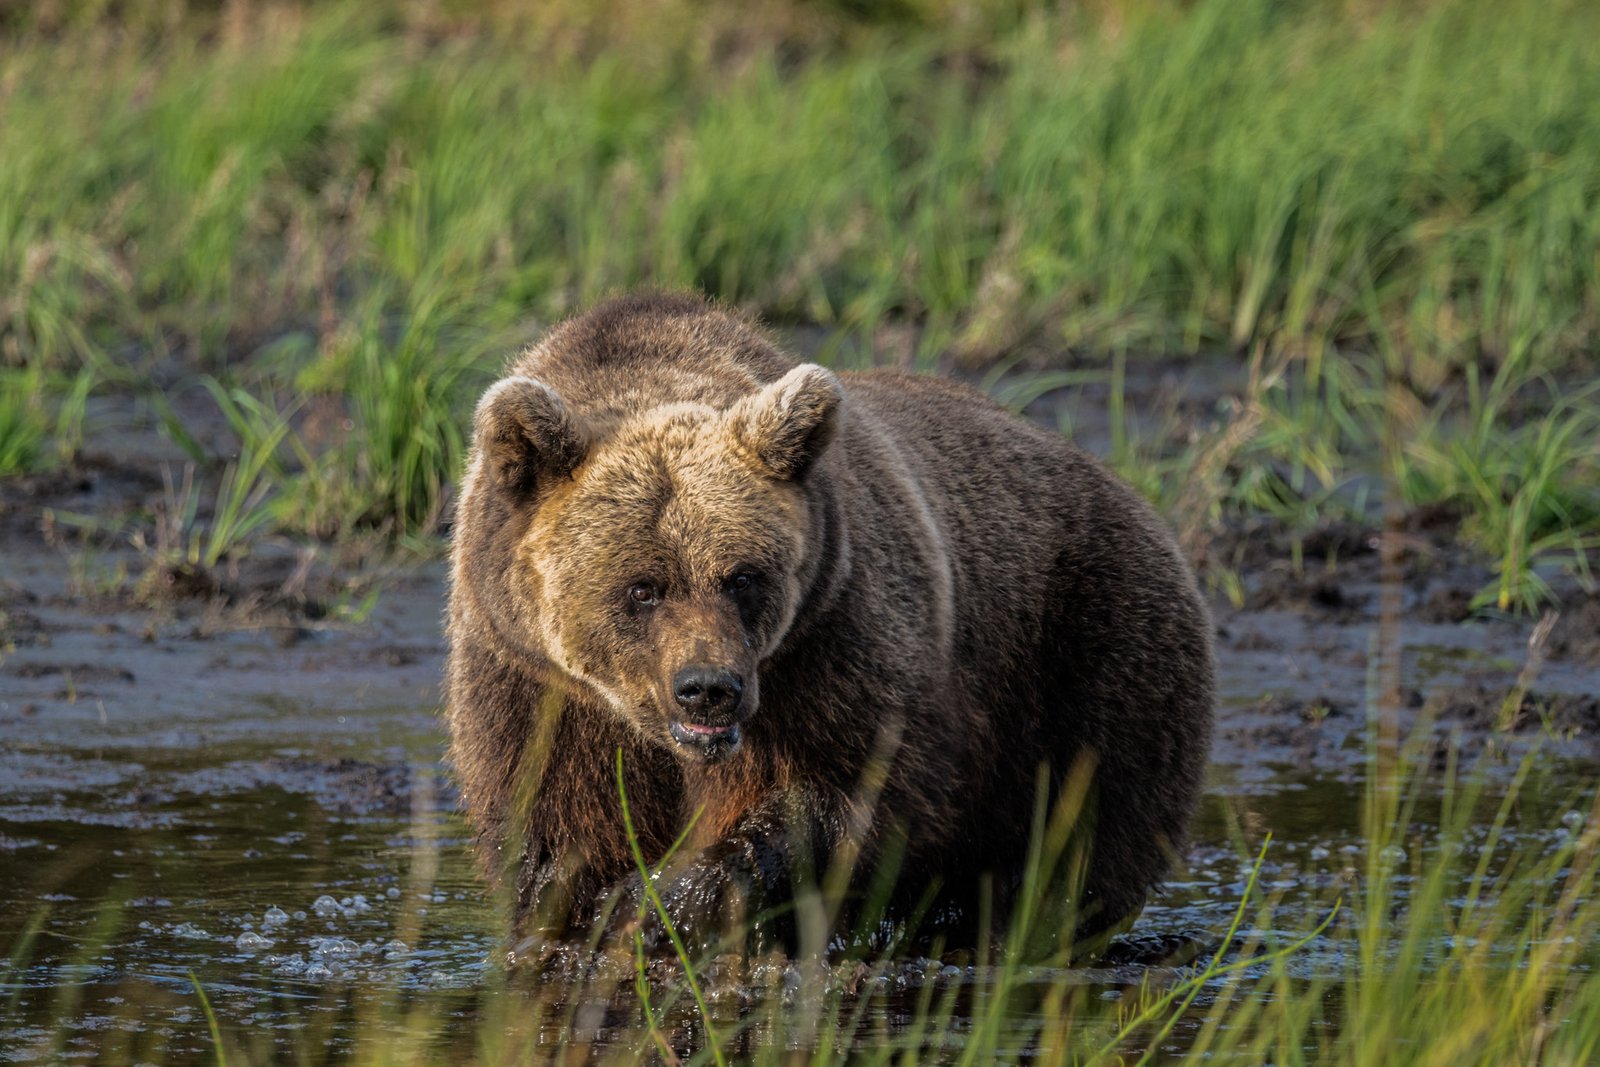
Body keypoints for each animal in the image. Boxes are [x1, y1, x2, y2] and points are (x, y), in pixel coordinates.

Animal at [441, 292, 1209, 953]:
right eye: (642, 588)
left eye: (742, 576)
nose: (708, 688)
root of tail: (1126, 487)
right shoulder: (530, 680)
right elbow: (554, 824)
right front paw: (586, 914)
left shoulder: (831, 635)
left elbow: (847, 790)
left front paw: (662, 902)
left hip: (1089, 646)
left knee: (1082, 828)